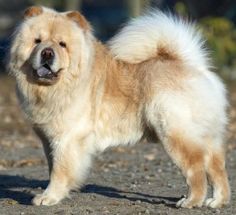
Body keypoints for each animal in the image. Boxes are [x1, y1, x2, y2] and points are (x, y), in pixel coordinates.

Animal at [8, 6, 230, 208]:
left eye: (62, 44)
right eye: (37, 41)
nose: (47, 52)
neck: (54, 89)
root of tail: (193, 65)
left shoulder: (67, 139)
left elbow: (59, 171)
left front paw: (48, 197)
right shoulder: (48, 140)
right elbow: (53, 166)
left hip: (174, 133)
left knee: (196, 168)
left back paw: (192, 201)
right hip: (208, 137)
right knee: (217, 167)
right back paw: (216, 201)